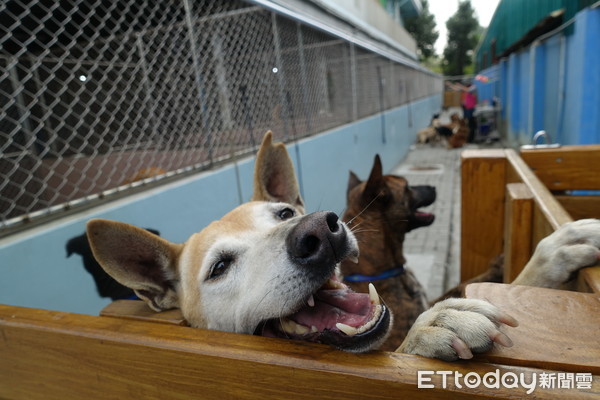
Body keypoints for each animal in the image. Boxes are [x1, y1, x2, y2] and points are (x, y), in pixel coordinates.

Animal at [85, 131, 600, 360]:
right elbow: (406, 344)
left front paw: (554, 251)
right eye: (219, 268)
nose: (319, 230)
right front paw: (431, 329)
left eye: (285, 214)